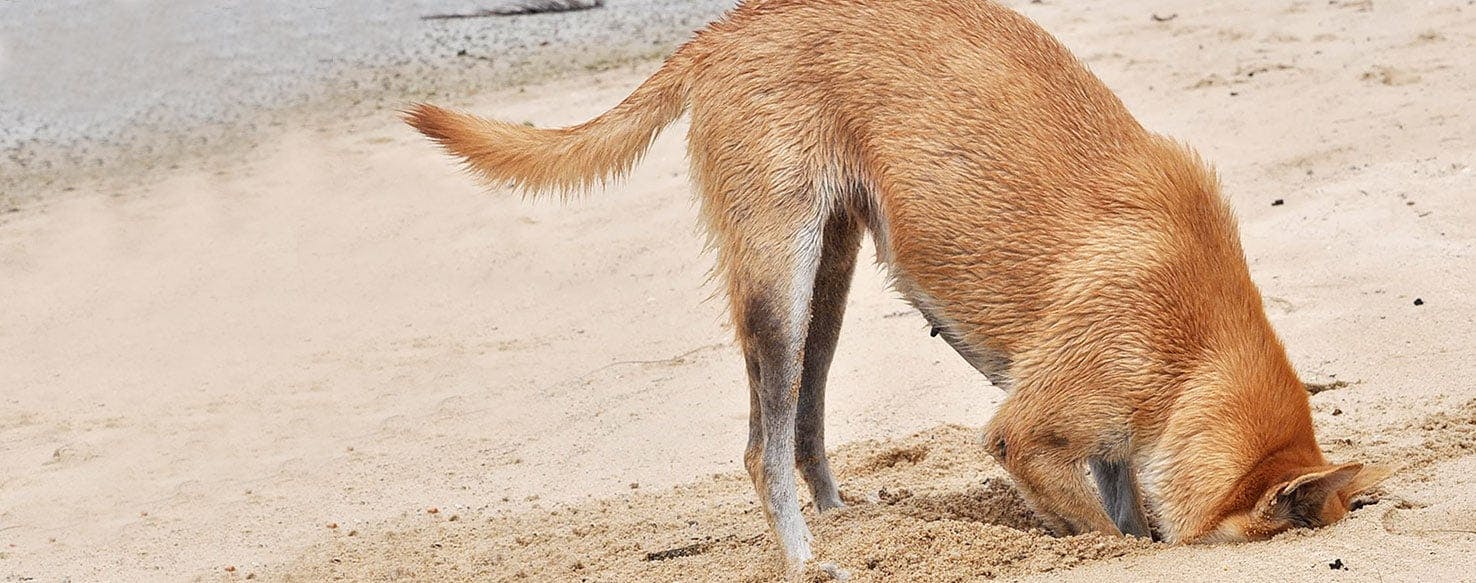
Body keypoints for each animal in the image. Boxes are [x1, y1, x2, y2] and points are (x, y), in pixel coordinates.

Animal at [401, 0, 1381, 566]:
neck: (1198, 347)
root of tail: (730, 25)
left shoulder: (1108, 447)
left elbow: (1123, 513)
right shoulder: (1027, 432)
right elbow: (1114, 538)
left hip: (827, 285)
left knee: (803, 433)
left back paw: (847, 521)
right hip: (780, 282)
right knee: (763, 450)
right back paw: (807, 557)